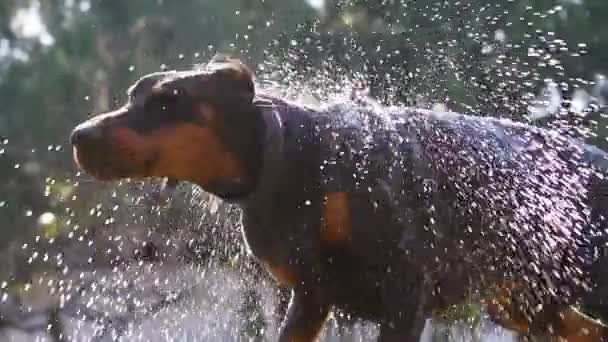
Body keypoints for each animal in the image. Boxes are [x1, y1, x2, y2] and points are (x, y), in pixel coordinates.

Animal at [72, 54, 608, 340]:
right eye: (131, 95)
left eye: (169, 100)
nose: (80, 136)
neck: (290, 166)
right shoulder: (309, 297)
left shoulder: (405, 291)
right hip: (524, 303)